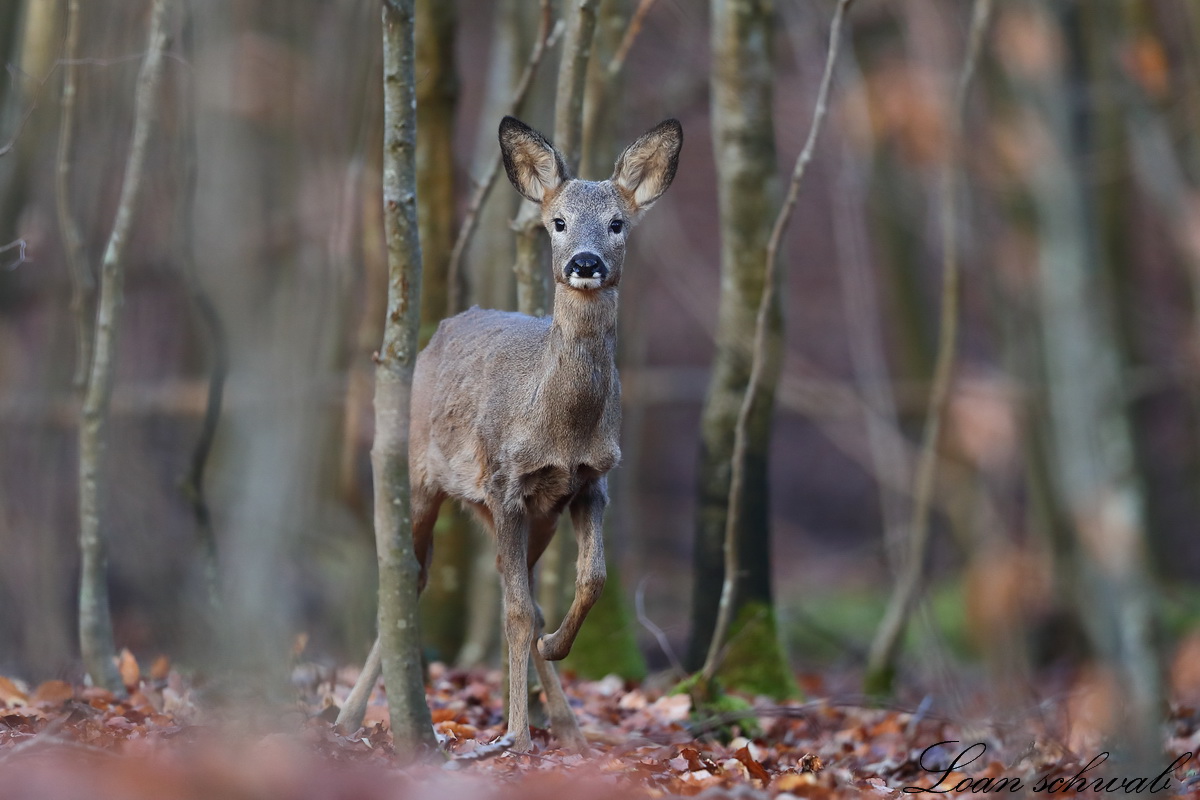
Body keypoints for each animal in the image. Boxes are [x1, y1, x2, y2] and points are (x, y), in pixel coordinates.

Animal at [338, 115, 681, 753]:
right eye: (558, 222)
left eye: (618, 223)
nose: (586, 263)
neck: (560, 427)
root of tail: (438, 333)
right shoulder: (505, 480)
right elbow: (518, 611)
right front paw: (516, 736)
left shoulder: (589, 482)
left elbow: (588, 581)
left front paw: (553, 661)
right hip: (421, 478)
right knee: (409, 580)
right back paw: (349, 715)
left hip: (517, 513)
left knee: (510, 587)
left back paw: (567, 725)